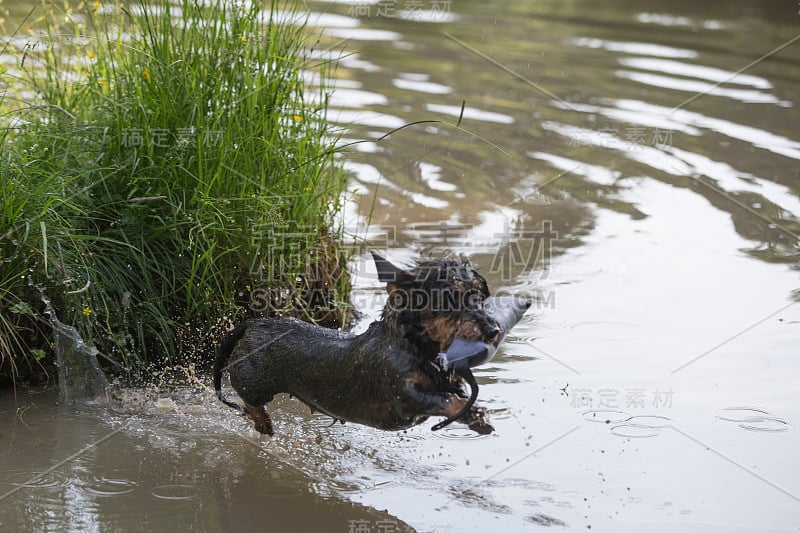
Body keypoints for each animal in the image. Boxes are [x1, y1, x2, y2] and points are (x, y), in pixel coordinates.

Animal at [214, 252, 524, 432]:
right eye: (450, 299)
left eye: (478, 296)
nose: (493, 330)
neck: (414, 348)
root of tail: (254, 322)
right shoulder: (403, 396)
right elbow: (443, 400)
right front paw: (468, 409)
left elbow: (458, 396)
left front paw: (477, 416)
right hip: (255, 384)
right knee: (250, 401)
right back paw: (263, 423)